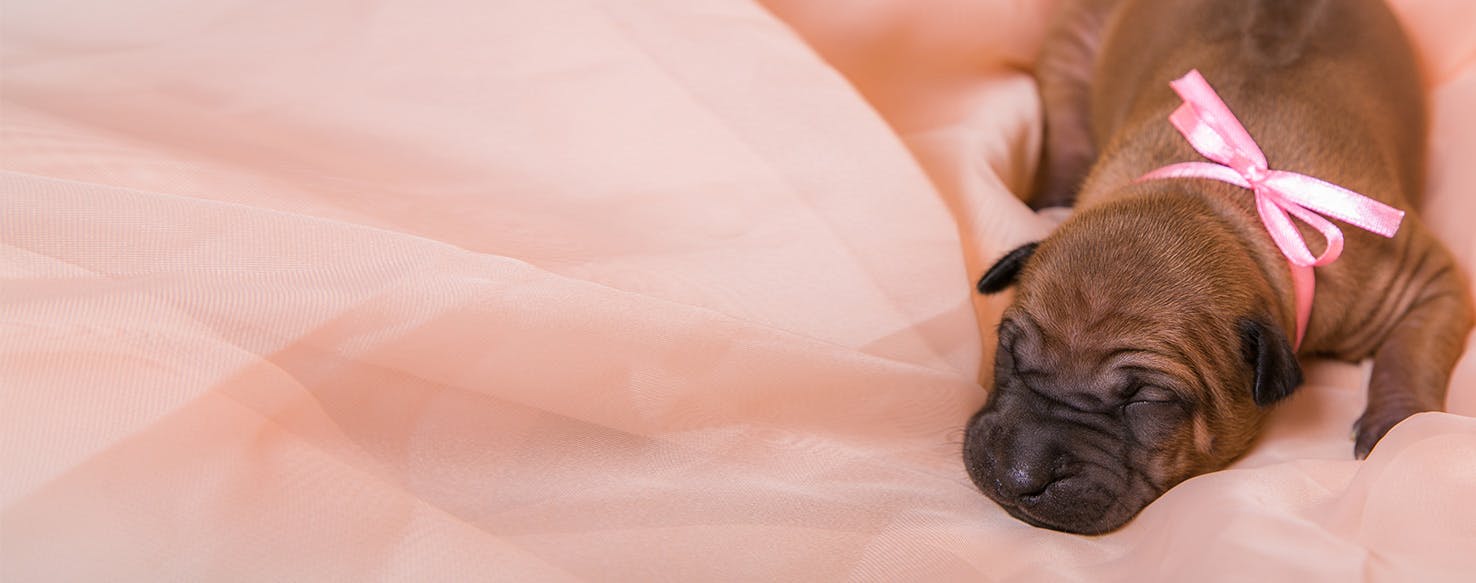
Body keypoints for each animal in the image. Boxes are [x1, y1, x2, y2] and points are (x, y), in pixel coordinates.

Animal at [962, 0, 1470, 537]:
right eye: (1008, 352)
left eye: (1147, 401)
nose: (1019, 476)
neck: (1219, 200)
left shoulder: (1419, 277)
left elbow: (1411, 353)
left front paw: (1401, 425)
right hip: (1068, 53)